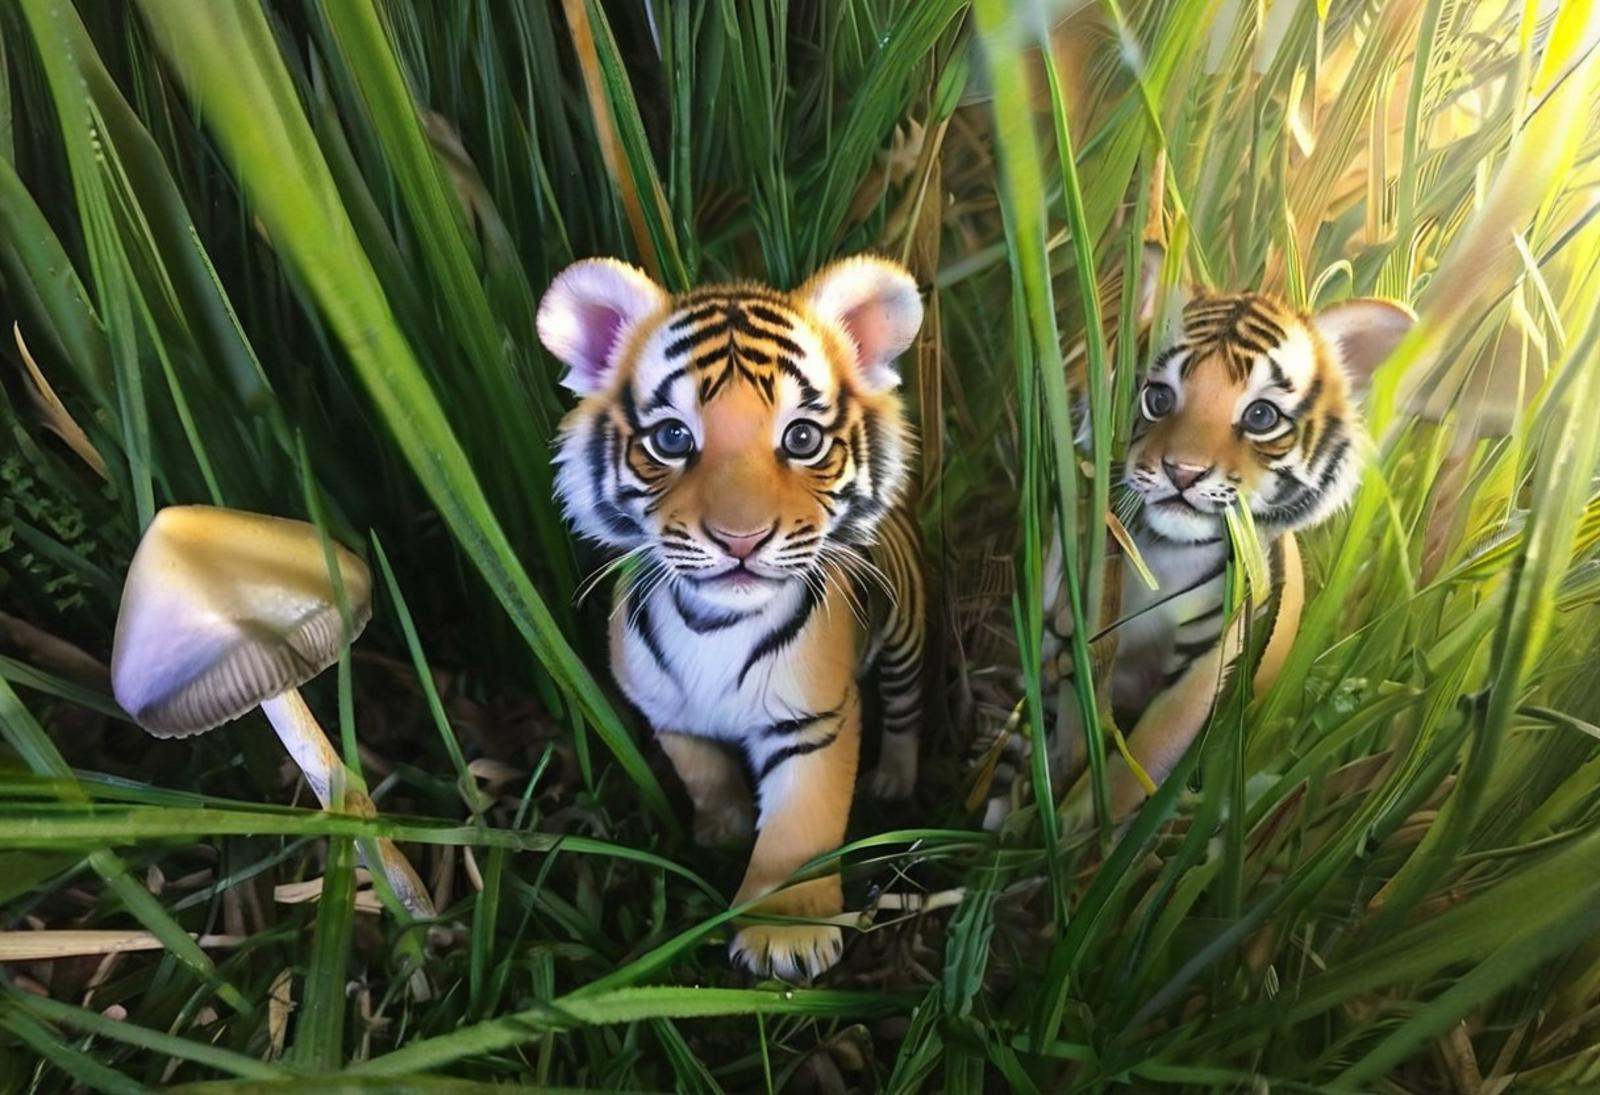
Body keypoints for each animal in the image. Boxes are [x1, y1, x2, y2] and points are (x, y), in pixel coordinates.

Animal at [536, 255, 927, 980]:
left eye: (801, 438)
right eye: (672, 437)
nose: (740, 540)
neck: (712, 623)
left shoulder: (814, 721)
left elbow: (801, 826)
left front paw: (785, 934)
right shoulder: (669, 712)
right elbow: (706, 775)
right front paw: (721, 830)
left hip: (905, 641)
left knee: (906, 712)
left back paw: (893, 780)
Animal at [980, 246, 1414, 830]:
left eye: (1261, 416)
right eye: (1158, 398)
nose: (1182, 472)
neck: (1165, 557)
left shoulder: (1208, 661)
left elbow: (1137, 764)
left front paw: (1079, 834)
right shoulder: (1076, 631)